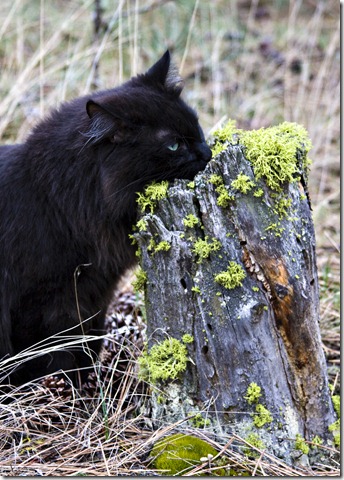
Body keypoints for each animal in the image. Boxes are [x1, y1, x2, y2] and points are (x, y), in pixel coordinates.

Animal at [0, 50, 212, 386]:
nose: (207, 153)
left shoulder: (96, 293)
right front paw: (63, 391)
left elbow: (89, 343)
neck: (56, 202)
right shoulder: (40, 302)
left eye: (197, 129)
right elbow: (50, 359)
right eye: (174, 144)